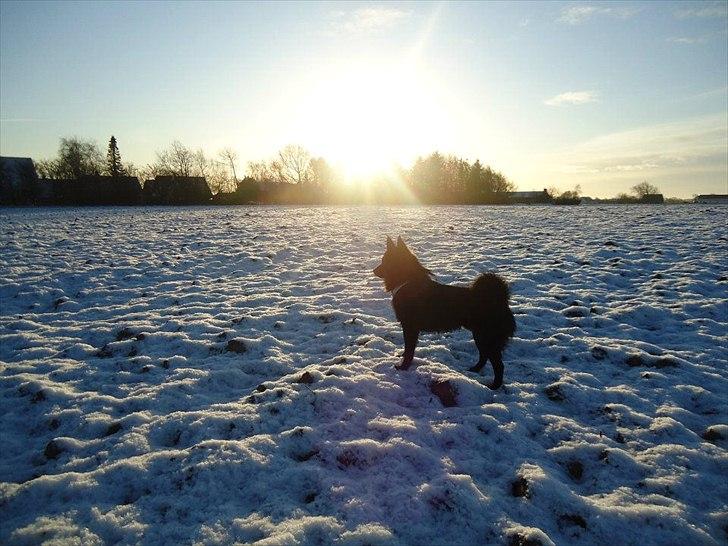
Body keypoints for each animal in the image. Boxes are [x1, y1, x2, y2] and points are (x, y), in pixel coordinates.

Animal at [376, 236, 516, 388]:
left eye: (385, 260)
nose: (374, 270)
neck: (408, 281)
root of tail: (500, 299)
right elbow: (408, 349)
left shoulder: (410, 327)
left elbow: (409, 350)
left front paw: (403, 367)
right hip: (480, 336)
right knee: (484, 356)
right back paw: (474, 369)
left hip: (486, 337)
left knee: (498, 365)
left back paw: (494, 386)